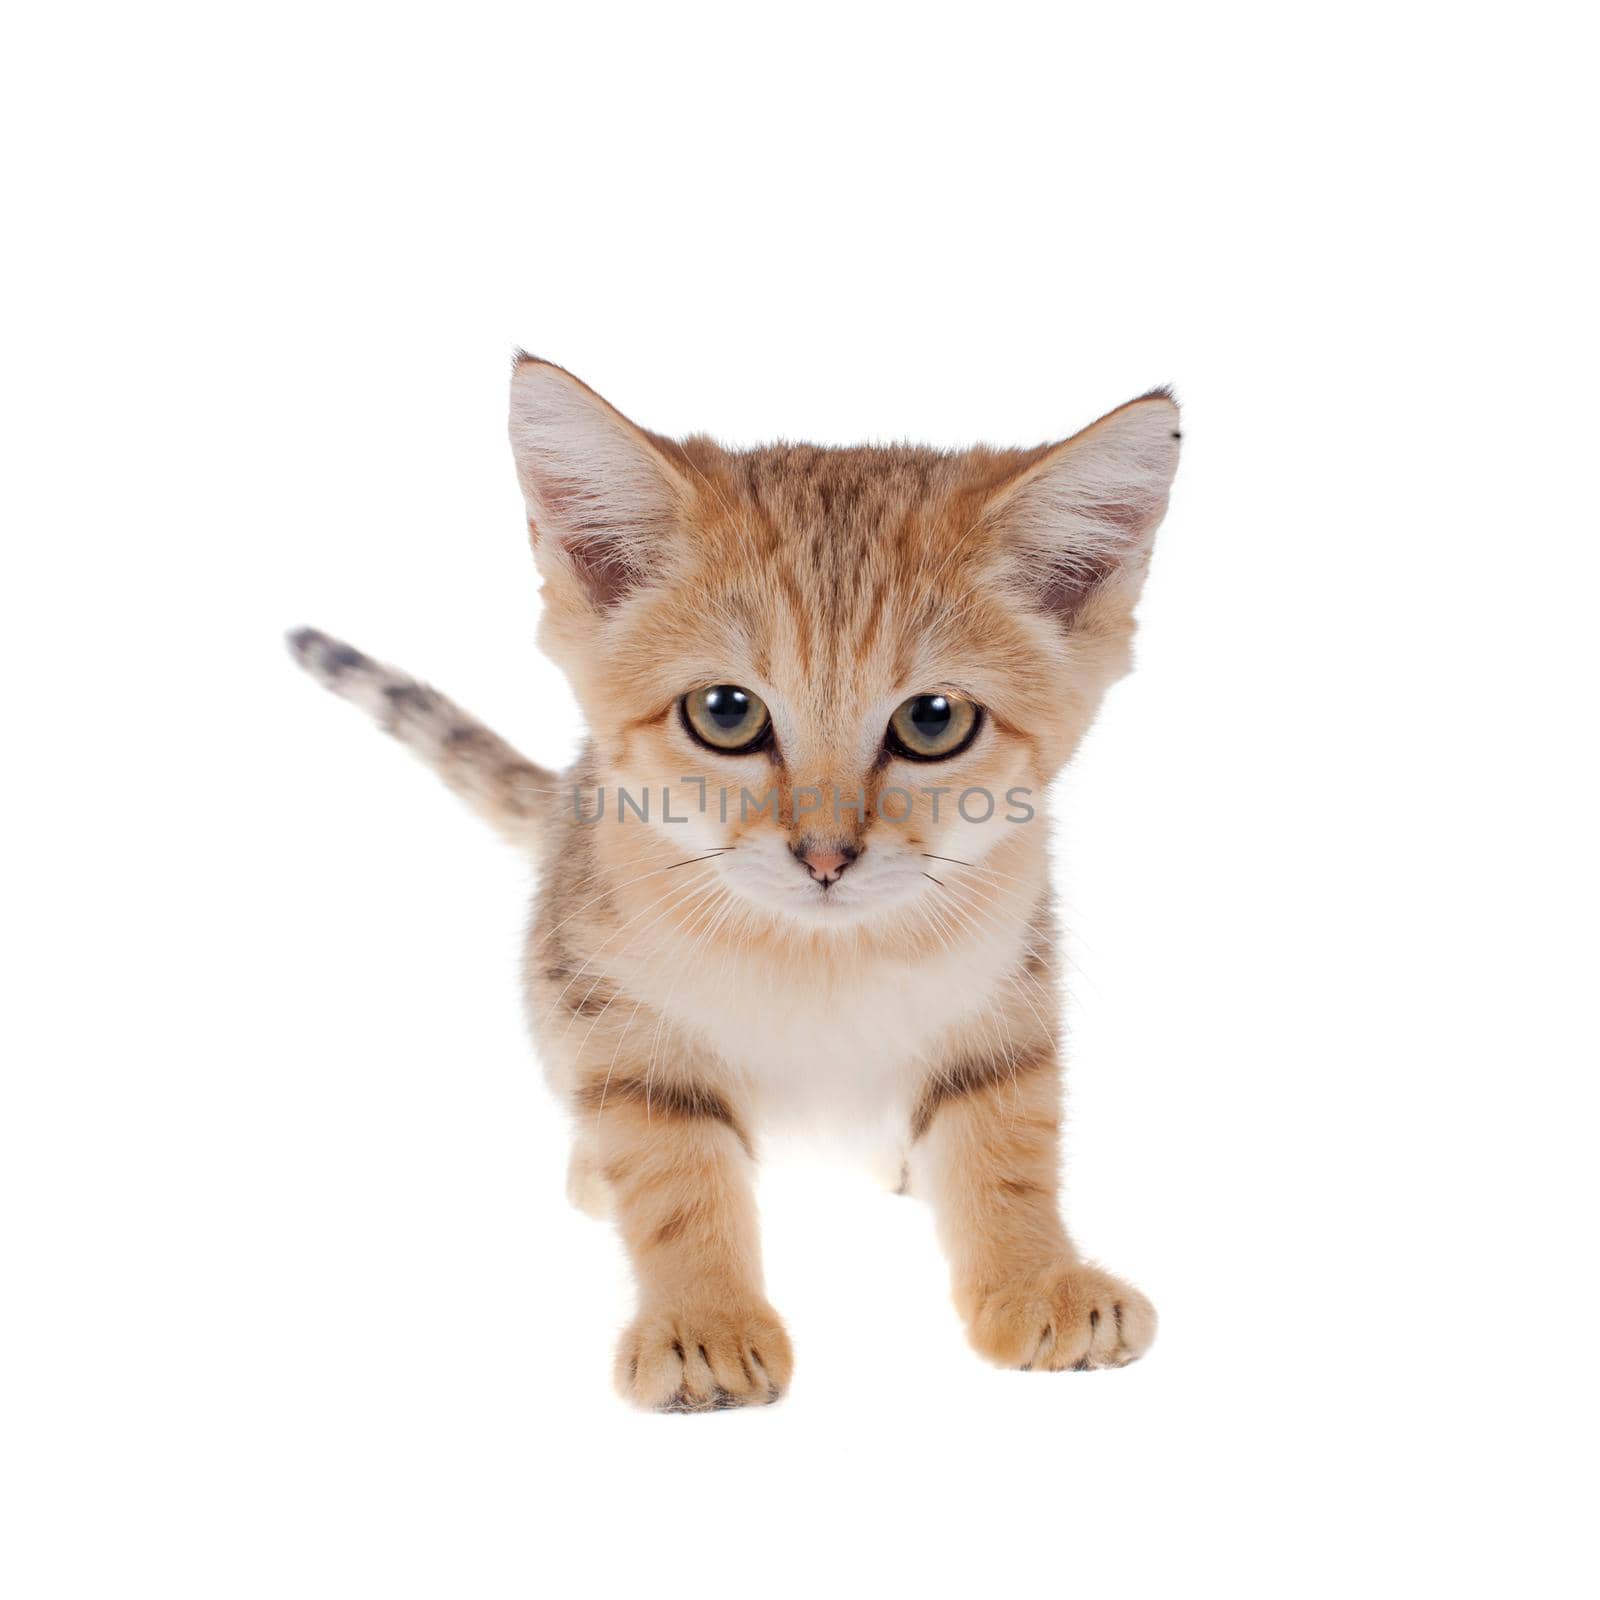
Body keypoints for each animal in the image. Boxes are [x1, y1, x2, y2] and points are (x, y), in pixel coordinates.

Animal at [294, 353, 1184, 1414]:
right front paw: (703, 1323)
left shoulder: (1007, 989)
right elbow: (673, 1173)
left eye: (933, 720)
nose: (826, 856)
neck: (821, 958)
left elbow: (1006, 1142)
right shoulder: (613, 1009)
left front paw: (1034, 1276)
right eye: (726, 712)